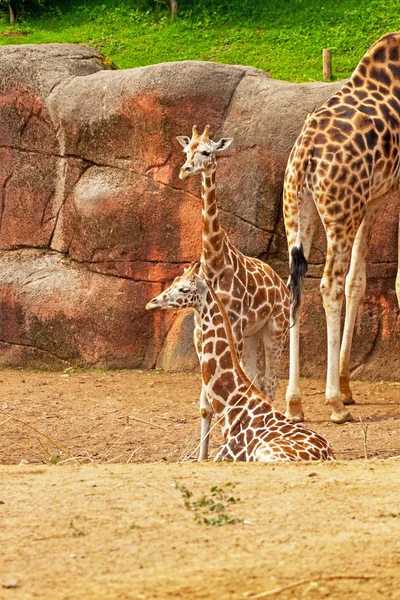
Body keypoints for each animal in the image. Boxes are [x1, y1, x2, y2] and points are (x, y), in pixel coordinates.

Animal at [148, 125, 290, 460]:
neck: (214, 262)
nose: (186, 170)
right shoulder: (202, 331)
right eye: (186, 151)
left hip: (274, 329)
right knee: (255, 376)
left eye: (207, 152)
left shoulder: (232, 325)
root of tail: (279, 281)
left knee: (270, 380)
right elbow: (205, 404)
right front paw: (202, 455)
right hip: (251, 335)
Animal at [148, 268, 334, 464]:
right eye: (173, 282)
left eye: (184, 289)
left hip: (267, 453)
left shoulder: (226, 455)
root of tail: (328, 454)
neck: (232, 409)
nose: (152, 303)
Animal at [282, 30, 400, 424]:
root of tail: (305, 157)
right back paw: (332, 402)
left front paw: (349, 384)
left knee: (296, 284)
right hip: (339, 213)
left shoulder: (375, 198)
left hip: (299, 212)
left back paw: (295, 402)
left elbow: (358, 280)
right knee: (327, 285)